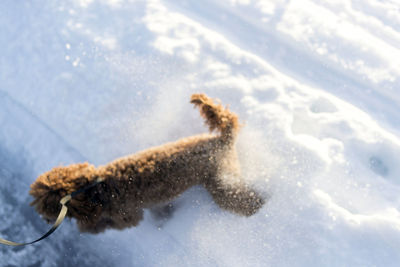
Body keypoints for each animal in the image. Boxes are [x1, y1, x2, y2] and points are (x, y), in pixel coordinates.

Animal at [29, 94, 264, 234]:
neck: (95, 189)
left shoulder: (128, 216)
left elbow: (108, 223)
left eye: (48, 209)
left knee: (242, 201)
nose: (44, 220)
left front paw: (90, 228)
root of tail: (223, 139)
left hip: (221, 182)